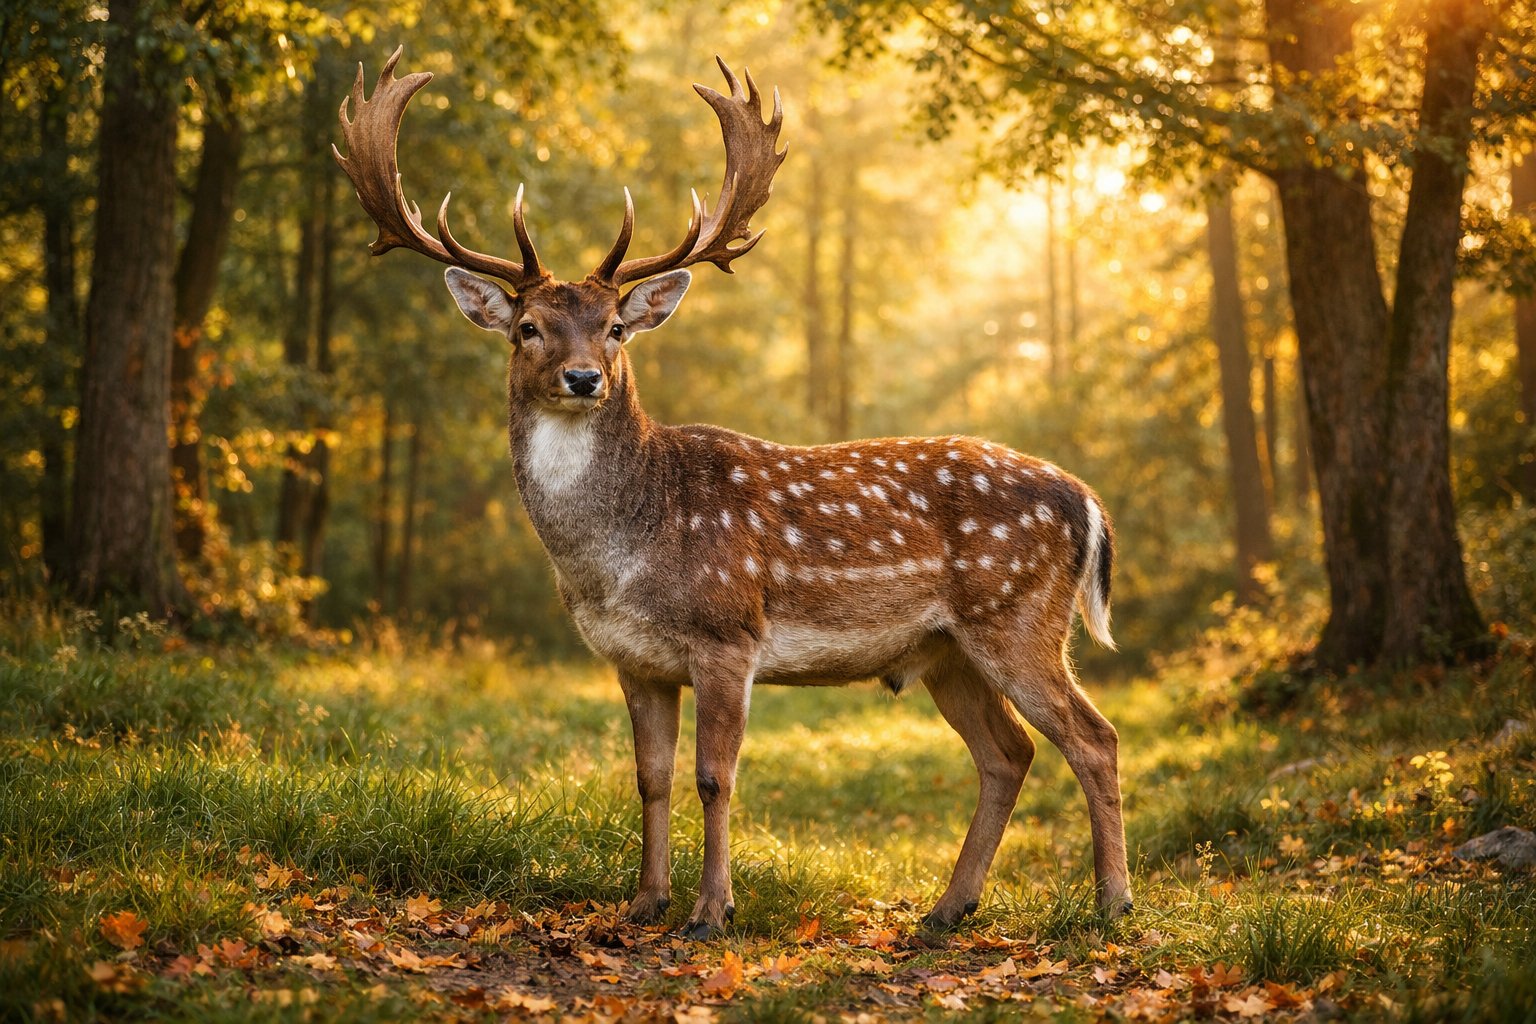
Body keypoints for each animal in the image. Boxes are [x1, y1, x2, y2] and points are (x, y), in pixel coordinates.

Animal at [334, 47, 1131, 940]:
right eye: (527, 329)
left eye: (615, 327)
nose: (584, 378)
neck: (618, 558)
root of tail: (1086, 500)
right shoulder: (633, 659)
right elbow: (650, 777)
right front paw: (644, 901)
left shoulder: (727, 632)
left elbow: (715, 776)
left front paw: (711, 911)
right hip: (945, 651)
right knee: (1008, 753)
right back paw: (947, 908)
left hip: (1018, 618)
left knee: (1093, 738)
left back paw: (1112, 902)